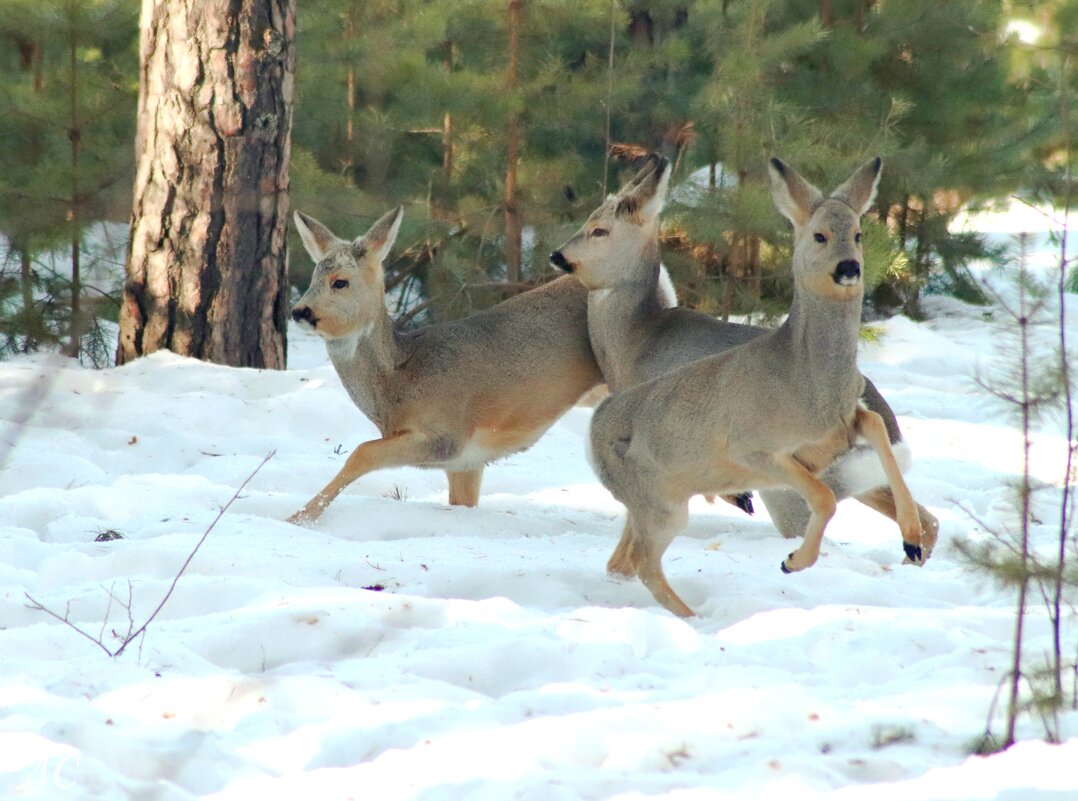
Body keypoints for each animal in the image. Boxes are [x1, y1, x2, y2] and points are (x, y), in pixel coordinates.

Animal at [286, 206, 603, 523]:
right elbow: (461, 501)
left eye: (340, 281)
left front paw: (299, 516)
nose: (298, 311)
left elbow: (361, 452)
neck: (399, 380)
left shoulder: (448, 436)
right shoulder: (466, 462)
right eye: (313, 277)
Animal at [556, 158, 927, 620]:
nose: (558, 256)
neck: (639, 339)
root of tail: (897, 432)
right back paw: (910, 549)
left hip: (787, 494)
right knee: (927, 518)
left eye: (599, 230)